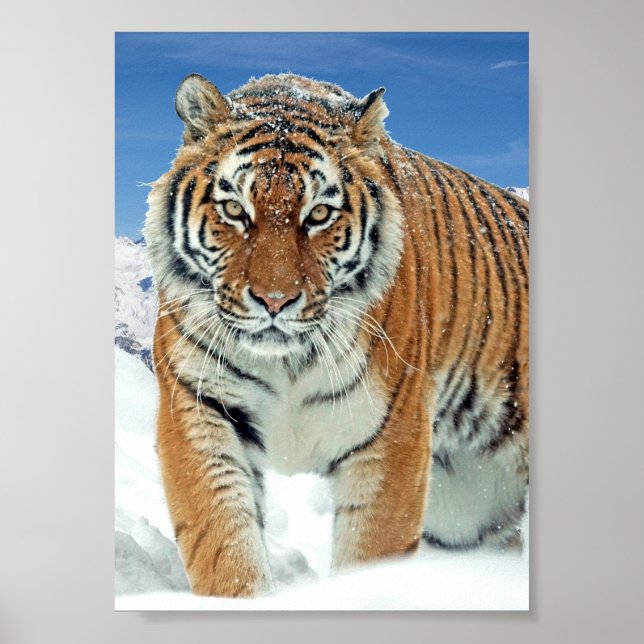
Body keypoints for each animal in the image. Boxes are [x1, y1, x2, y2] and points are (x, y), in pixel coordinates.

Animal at [143, 72, 529, 597]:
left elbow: (372, 553)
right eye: (235, 210)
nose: (274, 301)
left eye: (319, 215)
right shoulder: (198, 405)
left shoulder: (392, 432)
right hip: (467, 508)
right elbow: (225, 544)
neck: (286, 362)